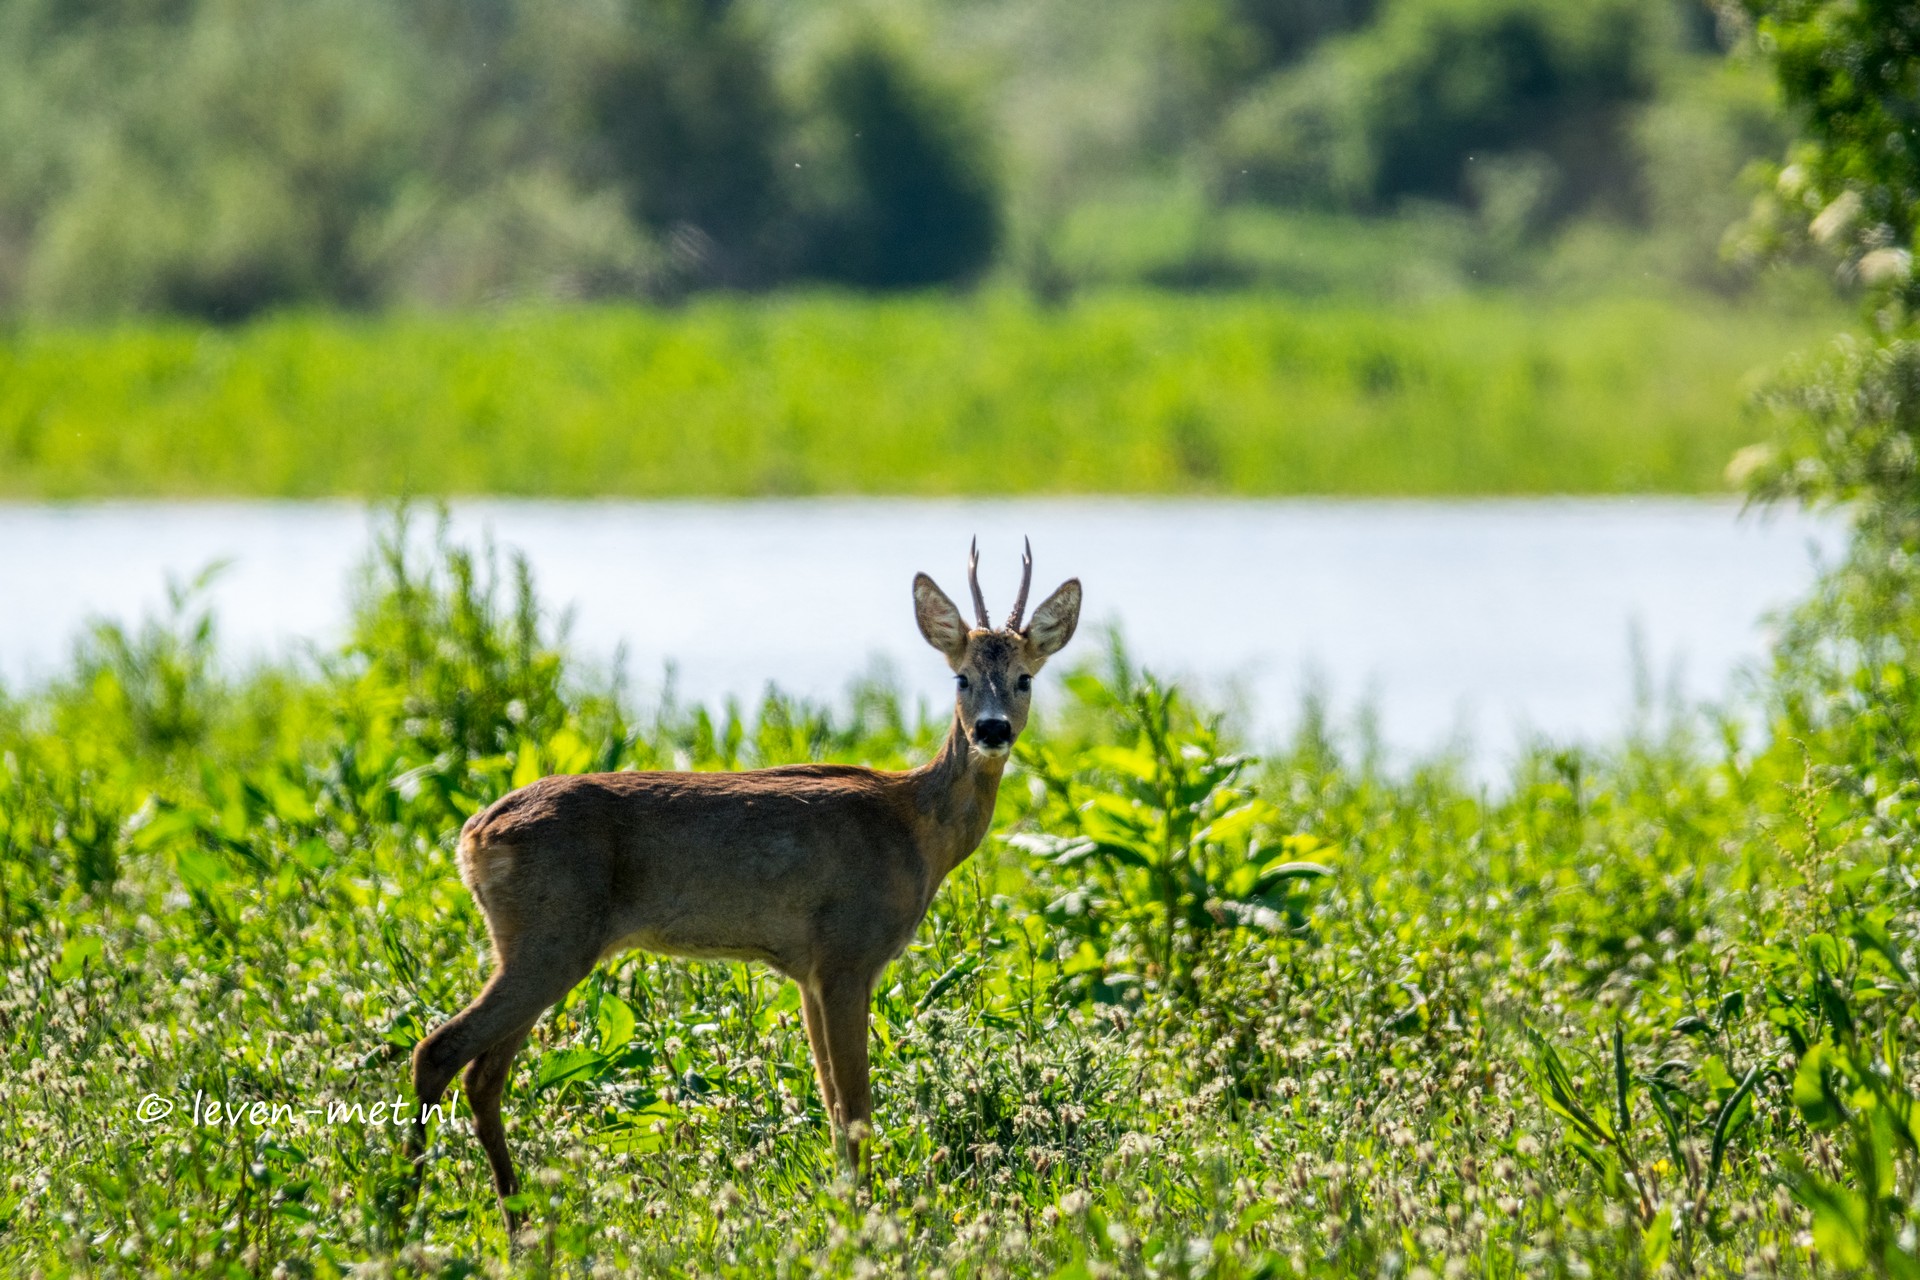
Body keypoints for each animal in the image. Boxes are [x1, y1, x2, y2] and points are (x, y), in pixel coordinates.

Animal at [410, 539, 1081, 1234]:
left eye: (1026, 677)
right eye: (961, 677)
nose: (992, 730)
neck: (915, 828)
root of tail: (471, 836)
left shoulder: (810, 970)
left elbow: (833, 1106)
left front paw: (847, 1205)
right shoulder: (847, 953)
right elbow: (857, 1108)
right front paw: (868, 1219)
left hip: (538, 945)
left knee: (482, 1073)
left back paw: (513, 1219)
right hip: (553, 938)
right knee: (439, 1049)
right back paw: (405, 1211)